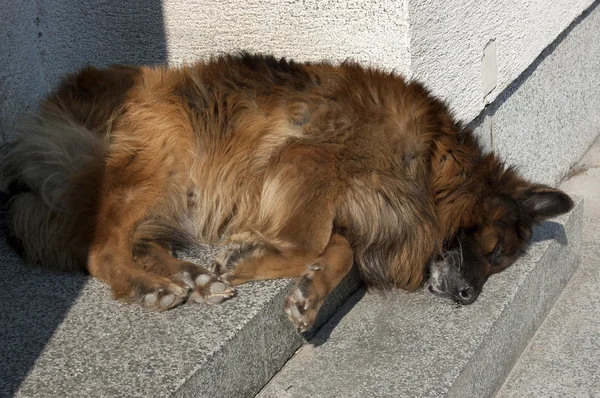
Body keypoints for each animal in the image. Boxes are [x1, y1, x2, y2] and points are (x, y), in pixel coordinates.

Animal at [1, 52, 572, 330]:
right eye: (494, 252)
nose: (469, 298)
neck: (429, 166)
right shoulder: (308, 162)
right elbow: (308, 242)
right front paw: (245, 259)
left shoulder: (349, 212)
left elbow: (336, 252)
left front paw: (309, 294)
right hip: (164, 152)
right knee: (100, 249)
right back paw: (153, 286)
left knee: (136, 241)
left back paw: (191, 277)